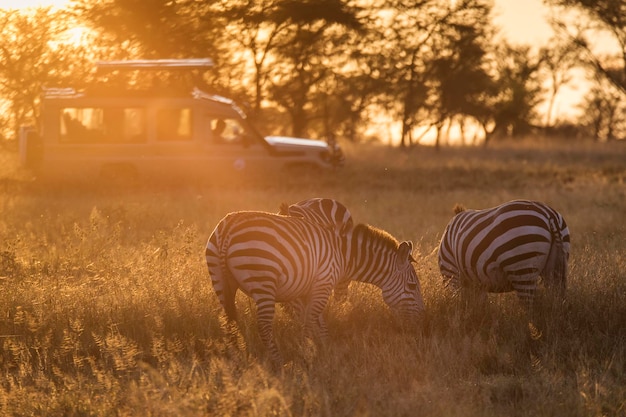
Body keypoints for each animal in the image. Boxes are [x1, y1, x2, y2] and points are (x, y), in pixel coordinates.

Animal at [436, 198, 568, 308]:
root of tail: (548, 214)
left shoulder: (451, 273)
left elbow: (460, 303)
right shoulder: (477, 284)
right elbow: (480, 306)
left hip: (522, 267)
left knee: (531, 306)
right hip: (556, 266)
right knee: (556, 300)